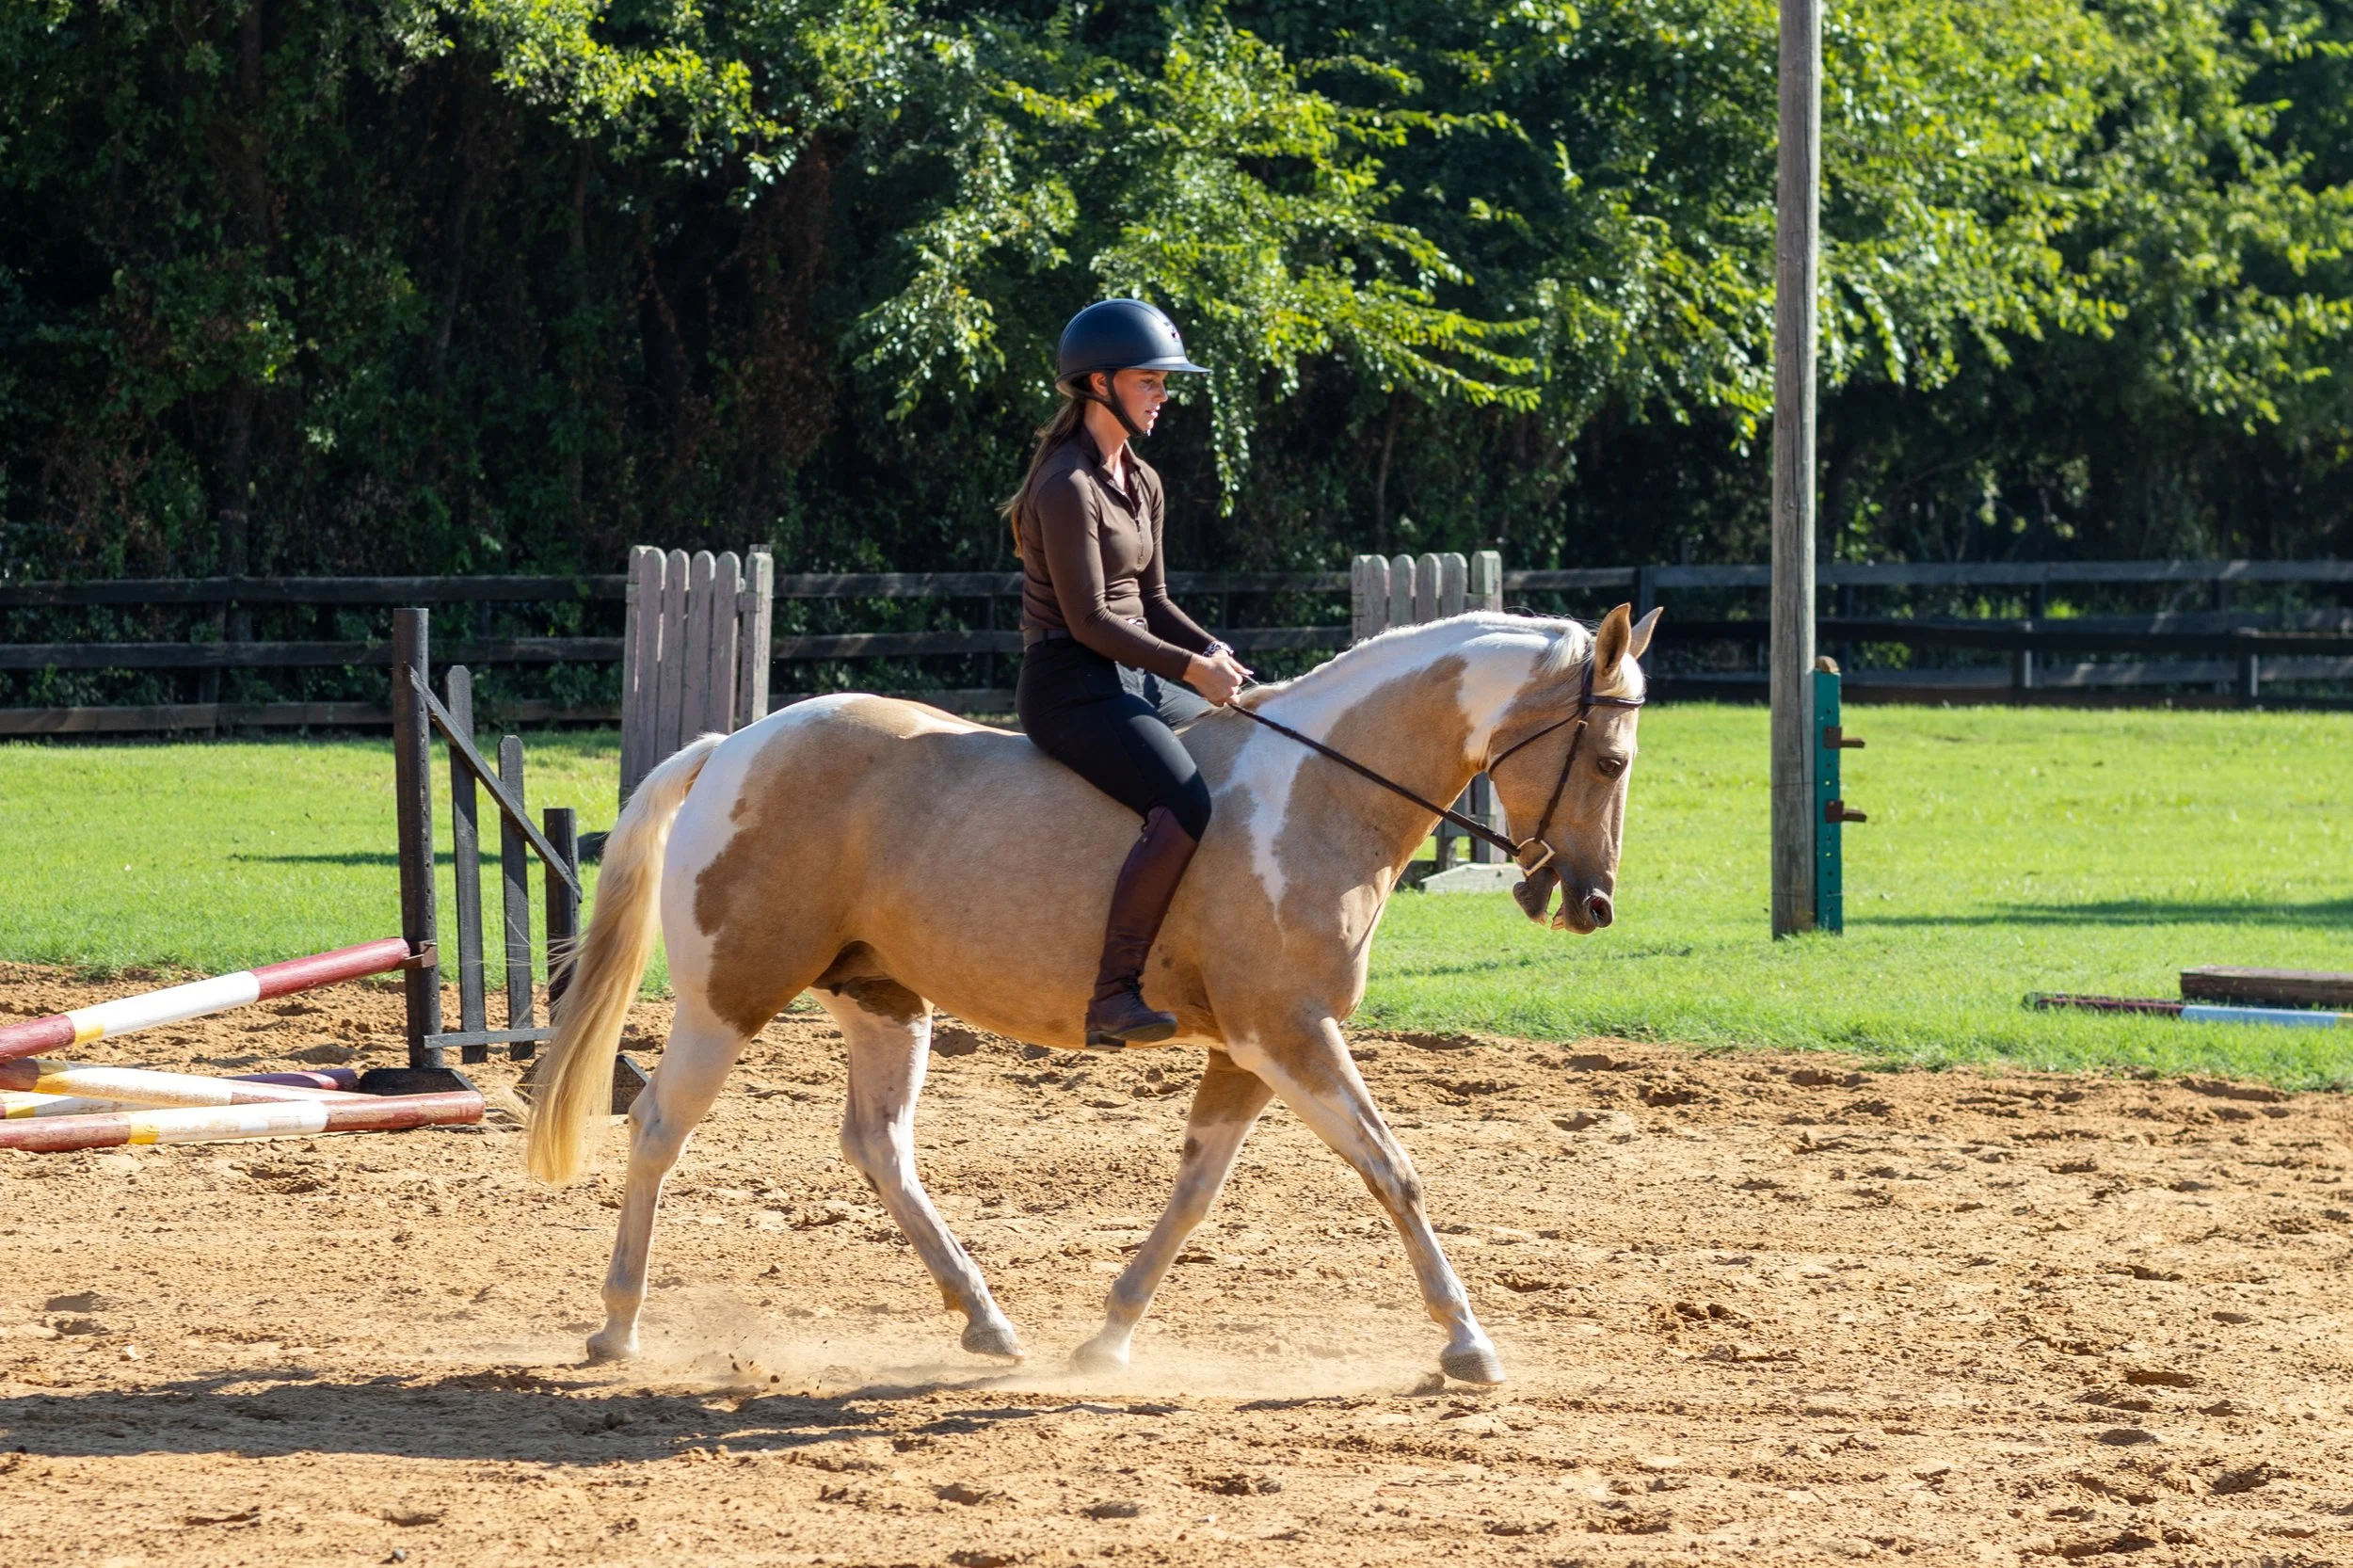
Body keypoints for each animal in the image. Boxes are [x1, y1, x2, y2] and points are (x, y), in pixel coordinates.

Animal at [526, 602, 1661, 1386]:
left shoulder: (1248, 1049)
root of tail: (736, 745)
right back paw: (617, 1324)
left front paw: (1108, 1335)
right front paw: (1467, 1341)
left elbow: (1196, 1191)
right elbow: (1394, 1171)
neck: (1322, 794)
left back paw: (984, 1319)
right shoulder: (1290, 1034)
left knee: (878, 1146)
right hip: (729, 1000)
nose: (1594, 903)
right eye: (1610, 760)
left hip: (883, 998)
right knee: (659, 1128)